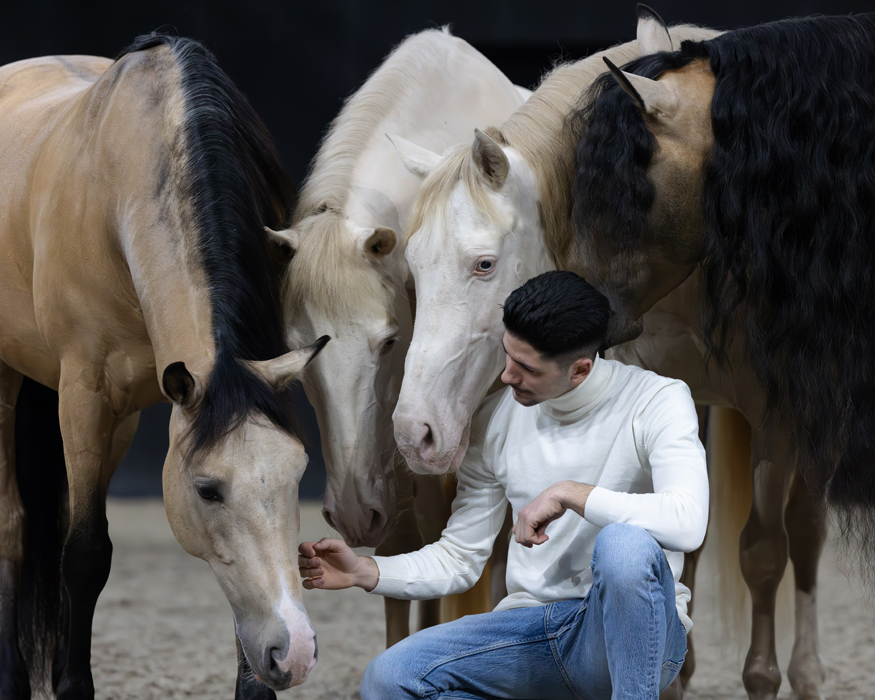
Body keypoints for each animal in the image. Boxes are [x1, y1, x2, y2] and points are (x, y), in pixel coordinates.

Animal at [0, 35, 327, 699]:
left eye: (299, 473)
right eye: (207, 490)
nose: (296, 651)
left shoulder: (132, 411)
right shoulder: (85, 397)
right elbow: (85, 553)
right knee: (14, 529)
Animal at [572, 12, 875, 700]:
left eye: (628, 192)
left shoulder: (788, 410)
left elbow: (764, 551)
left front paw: (762, 677)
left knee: (804, 535)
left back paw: (807, 674)